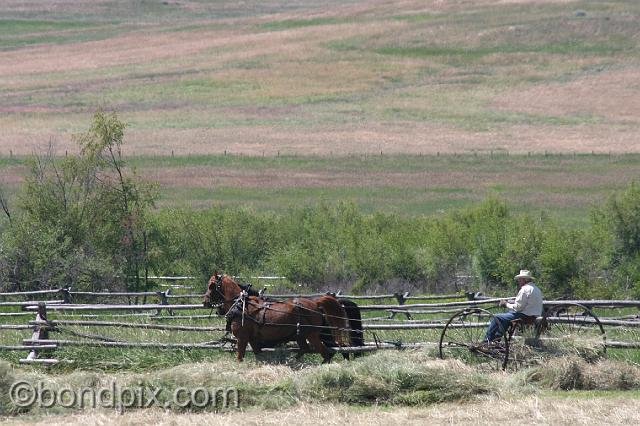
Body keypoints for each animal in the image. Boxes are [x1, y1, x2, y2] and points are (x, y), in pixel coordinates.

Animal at [204, 274, 360, 362]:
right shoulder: (253, 340)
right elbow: (259, 356)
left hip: (313, 335)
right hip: (303, 336)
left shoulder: (242, 338)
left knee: (327, 353)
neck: (241, 303)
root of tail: (316, 303)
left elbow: (240, 357)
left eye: (211, 286)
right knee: (311, 349)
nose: (205, 301)